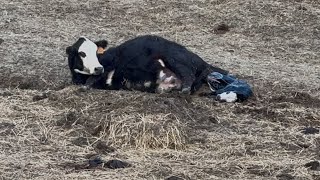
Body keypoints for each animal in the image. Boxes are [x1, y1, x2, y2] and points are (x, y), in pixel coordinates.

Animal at [66, 35, 229, 94]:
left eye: (96, 51)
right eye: (82, 53)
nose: (98, 68)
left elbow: (90, 81)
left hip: (175, 58)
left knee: (188, 75)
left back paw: (184, 91)